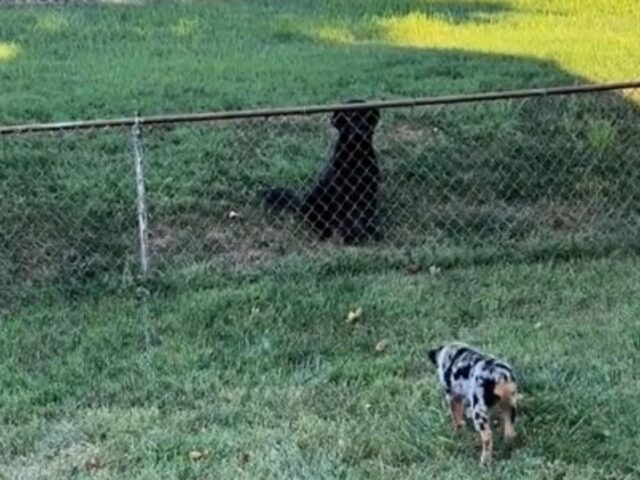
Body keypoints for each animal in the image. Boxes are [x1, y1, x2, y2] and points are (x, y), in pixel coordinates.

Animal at [262, 100, 382, 244]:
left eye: (367, 116)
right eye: (349, 116)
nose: (361, 130)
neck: (356, 156)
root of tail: (300, 205)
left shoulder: (370, 190)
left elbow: (368, 215)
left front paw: (372, 234)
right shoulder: (341, 194)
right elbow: (348, 218)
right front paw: (351, 237)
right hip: (314, 199)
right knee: (317, 223)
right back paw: (325, 233)